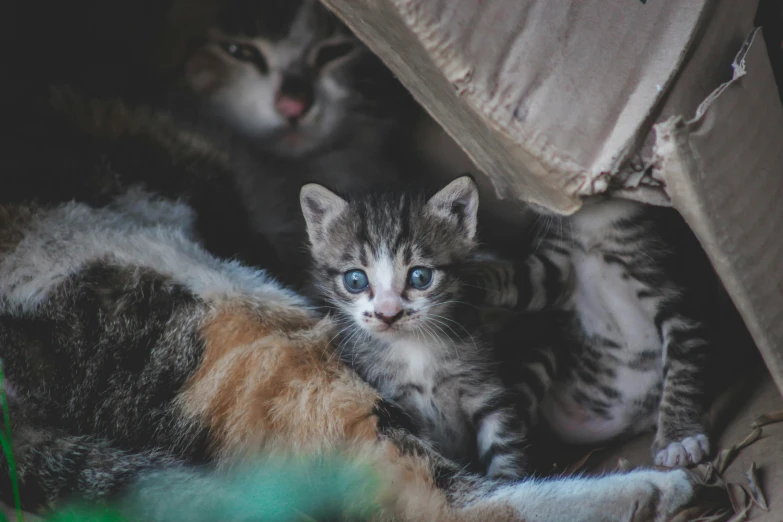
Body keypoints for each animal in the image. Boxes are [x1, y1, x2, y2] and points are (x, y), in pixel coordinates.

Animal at [300, 177, 528, 478]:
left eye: (420, 277)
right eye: (355, 280)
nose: (388, 314)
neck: (412, 347)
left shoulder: (484, 386)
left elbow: (504, 448)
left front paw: (508, 481)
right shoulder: (395, 403)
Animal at [486, 199, 756, 468]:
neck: (595, 221)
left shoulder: (680, 297)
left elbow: (681, 373)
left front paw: (677, 438)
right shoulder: (553, 271)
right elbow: (521, 281)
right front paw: (480, 275)